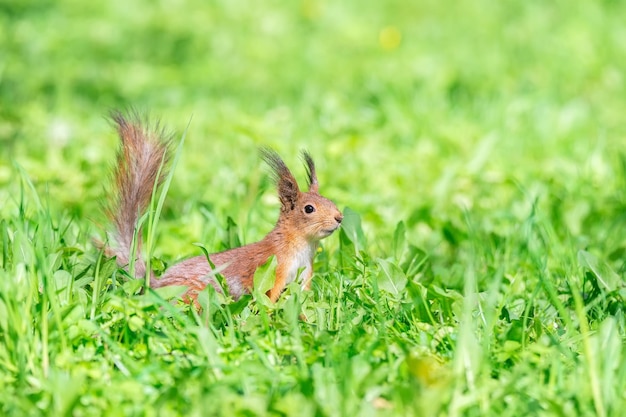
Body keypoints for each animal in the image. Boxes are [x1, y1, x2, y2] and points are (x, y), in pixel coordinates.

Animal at [105, 112, 344, 304]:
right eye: (309, 209)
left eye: (330, 200)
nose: (339, 218)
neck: (302, 246)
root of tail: (155, 285)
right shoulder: (274, 269)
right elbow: (269, 298)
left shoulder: (304, 277)